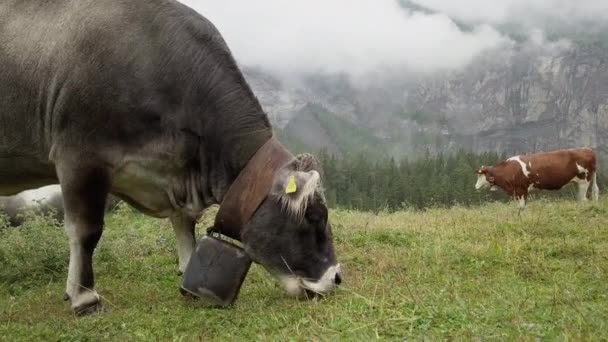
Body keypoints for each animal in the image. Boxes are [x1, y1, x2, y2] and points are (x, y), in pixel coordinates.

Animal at [0, 0, 342, 314]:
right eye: (315, 217)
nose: (336, 278)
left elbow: (185, 223)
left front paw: (188, 270)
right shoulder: (79, 156)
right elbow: (86, 230)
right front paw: (84, 297)